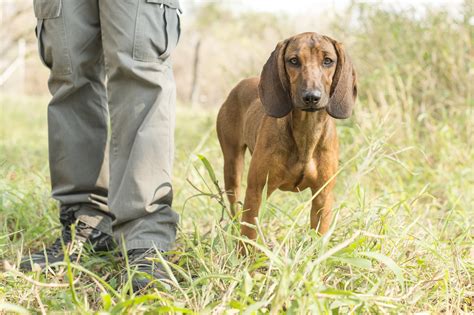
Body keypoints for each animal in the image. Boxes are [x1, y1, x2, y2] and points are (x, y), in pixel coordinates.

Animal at [217, 32, 358, 244]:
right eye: (293, 60)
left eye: (328, 61)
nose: (311, 97)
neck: (306, 135)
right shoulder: (256, 190)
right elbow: (249, 235)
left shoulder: (323, 196)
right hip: (232, 167)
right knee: (235, 206)